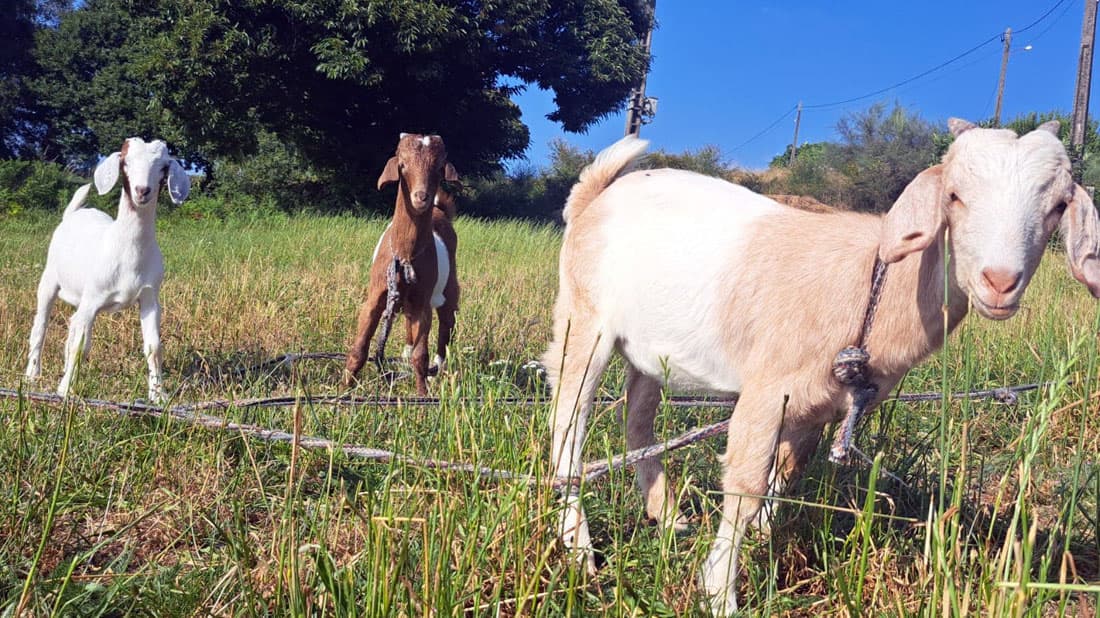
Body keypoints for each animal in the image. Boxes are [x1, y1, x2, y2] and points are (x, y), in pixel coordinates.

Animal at [24, 136, 191, 402]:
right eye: (126, 162)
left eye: (163, 166)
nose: (142, 191)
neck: (127, 251)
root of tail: (73, 214)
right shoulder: (92, 298)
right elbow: (80, 347)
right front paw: (65, 390)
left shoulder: (150, 298)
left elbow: (154, 347)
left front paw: (158, 395)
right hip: (49, 280)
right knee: (40, 325)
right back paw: (32, 375)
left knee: (72, 322)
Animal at [347, 134, 459, 393]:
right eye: (402, 165)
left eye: (439, 168)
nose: (421, 197)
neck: (405, 255)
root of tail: (440, 211)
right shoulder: (376, 295)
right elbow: (359, 349)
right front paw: (343, 389)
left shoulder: (423, 300)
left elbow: (422, 355)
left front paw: (422, 395)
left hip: (449, 288)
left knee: (446, 327)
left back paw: (437, 372)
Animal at [545, 116, 1100, 611]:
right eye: (955, 196)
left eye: (1057, 206)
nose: (999, 282)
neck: (872, 281)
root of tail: (596, 194)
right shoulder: (767, 390)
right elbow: (746, 486)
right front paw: (720, 592)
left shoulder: (818, 404)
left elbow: (785, 477)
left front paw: (763, 542)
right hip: (584, 320)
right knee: (568, 425)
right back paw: (579, 549)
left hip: (650, 352)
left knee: (636, 420)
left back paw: (667, 517)